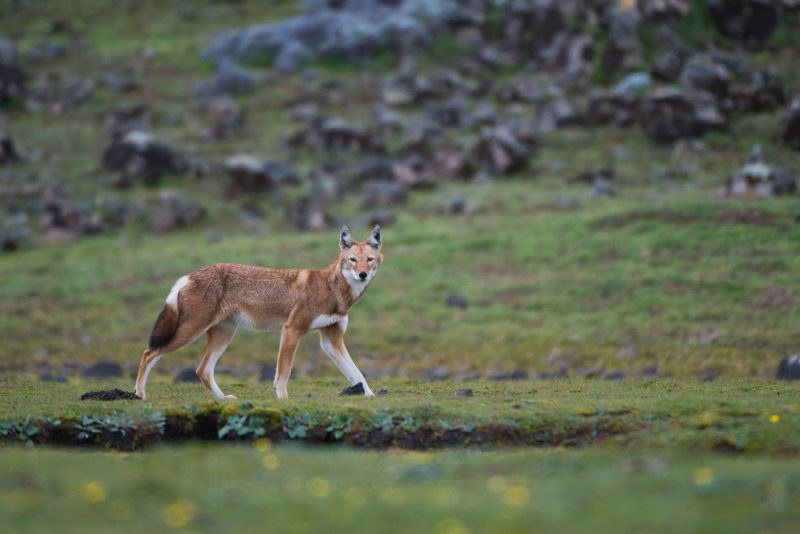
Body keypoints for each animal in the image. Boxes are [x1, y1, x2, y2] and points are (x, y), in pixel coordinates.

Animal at [135, 225, 384, 402]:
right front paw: (283, 399)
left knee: (202, 370)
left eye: (369, 260)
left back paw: (223, 399)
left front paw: (370, 395)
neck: (332, 290)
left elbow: (357, 374)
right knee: (148, 353)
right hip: (190, 332)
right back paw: (139, 394)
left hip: (224, 335)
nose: (362, 274)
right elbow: (283, 373)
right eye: (353, 260)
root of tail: (189, 276)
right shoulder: (292, 330)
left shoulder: (332, 340)